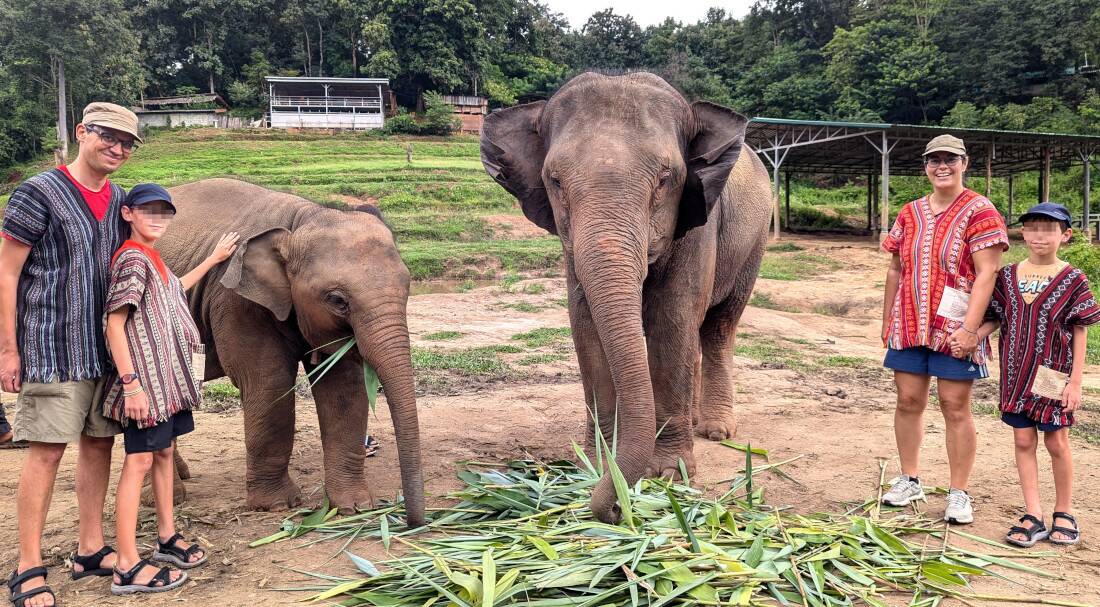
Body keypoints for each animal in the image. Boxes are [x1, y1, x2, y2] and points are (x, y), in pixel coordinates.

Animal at [481, 72, 774, 521]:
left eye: (665, 178)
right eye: (555, 181)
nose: (618, 510)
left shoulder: (697, 225)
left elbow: (672, 318)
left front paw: (670, 474)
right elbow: (585, 325)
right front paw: (598, 464)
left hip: (754, 243)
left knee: (719, 326)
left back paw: (715, 430)